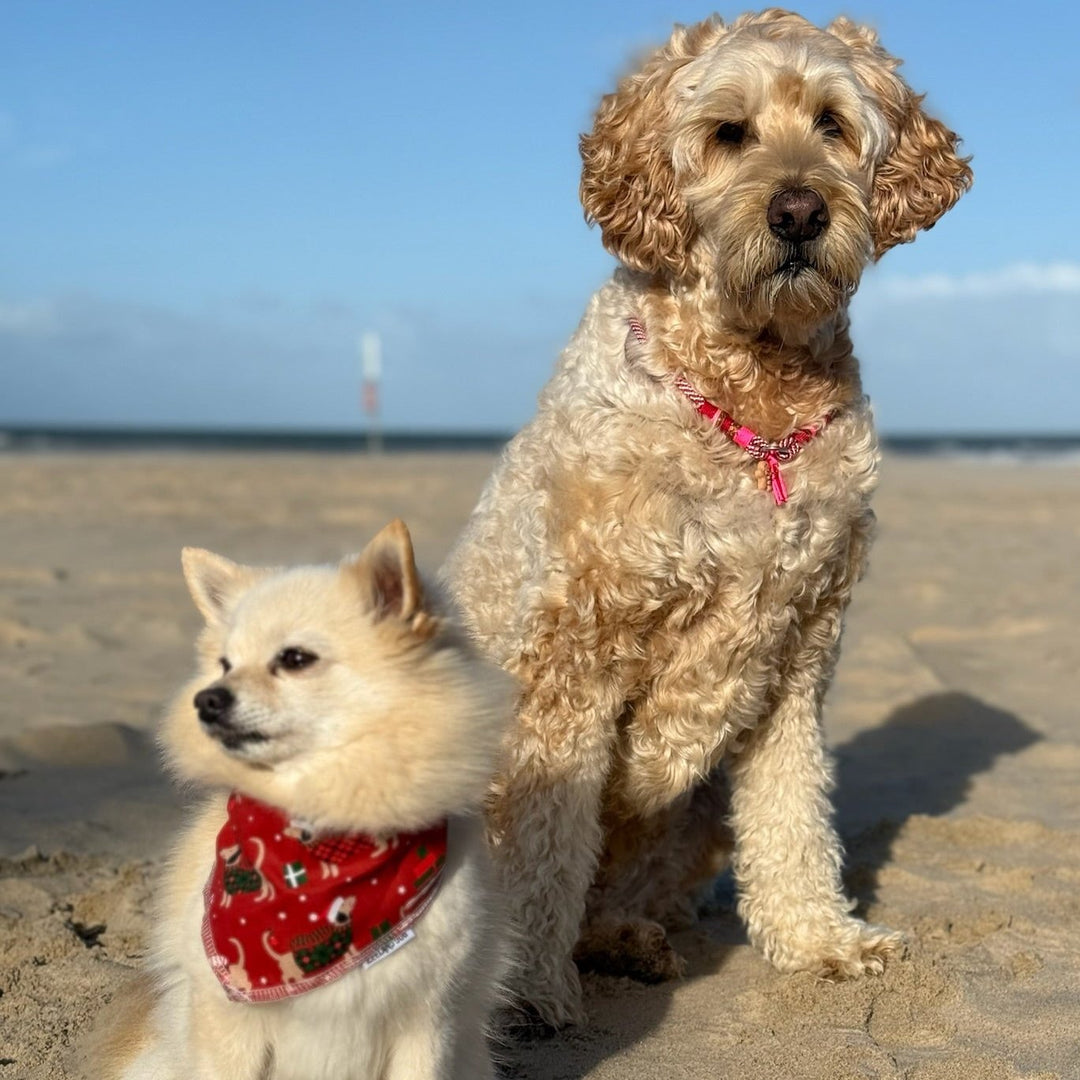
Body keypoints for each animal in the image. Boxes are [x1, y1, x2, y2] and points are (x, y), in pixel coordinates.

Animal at [440, 8, 972, 1023]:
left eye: (833, 123)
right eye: (729, 133)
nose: (799, 212)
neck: (753, 395)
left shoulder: (798, 648)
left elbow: (794, 813)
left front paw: (819, 939)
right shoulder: (573, 655)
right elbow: (545, 843)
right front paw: (527, 988)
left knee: (634, 891)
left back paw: (629, 942)